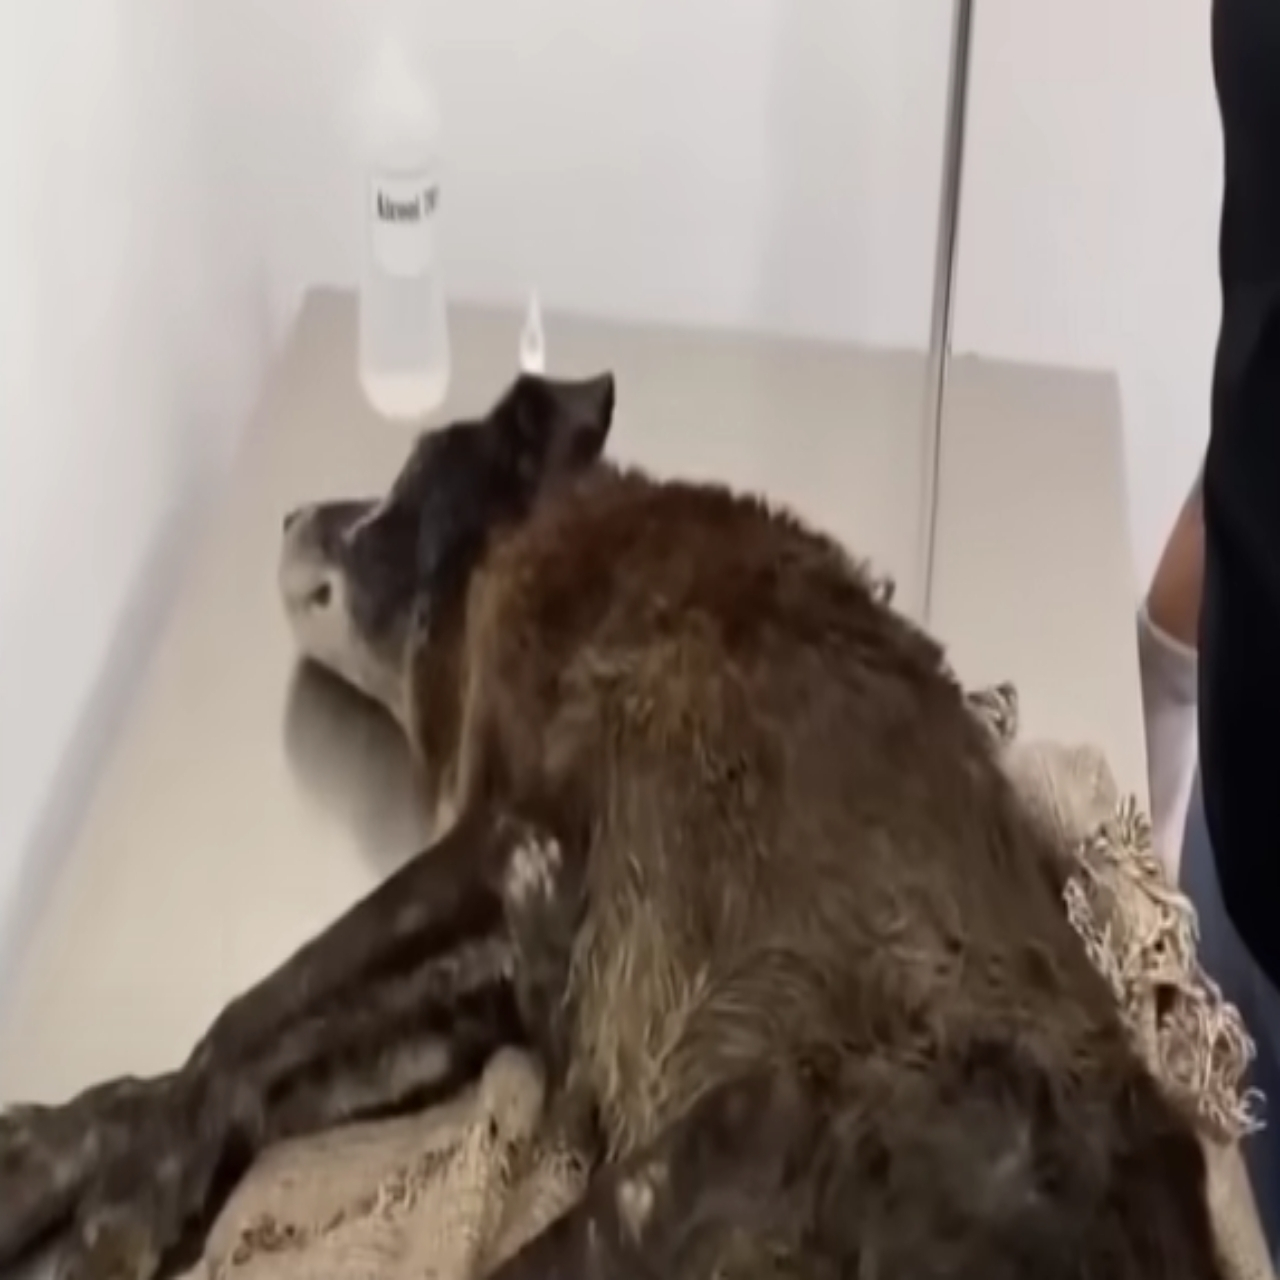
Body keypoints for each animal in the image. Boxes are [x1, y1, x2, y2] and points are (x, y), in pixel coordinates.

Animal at [0, 371, 1226, 1280]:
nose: (294, 511)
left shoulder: (503, 848)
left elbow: (247, 1015)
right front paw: (75, 1149)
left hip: (672, 1178)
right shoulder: (507, 963)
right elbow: (250, 1064)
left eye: (392, 500)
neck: (542, 542)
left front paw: (109, 1201)